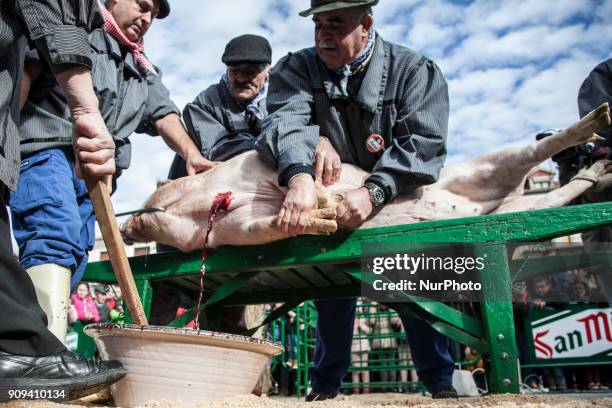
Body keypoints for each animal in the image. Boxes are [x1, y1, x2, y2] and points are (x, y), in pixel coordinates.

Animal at [120, 103, 612, 249]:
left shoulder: (254, 167)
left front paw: (325, 199)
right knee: (556, 196)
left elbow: (294, 171)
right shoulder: (235, 232)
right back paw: (599, 170)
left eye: (154, 191)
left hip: (487, 164)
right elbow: (271, 224)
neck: (203, 200)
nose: (124, 228)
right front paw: (322, 213)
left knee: (538, 149)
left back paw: (596, 124)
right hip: (517, 205)